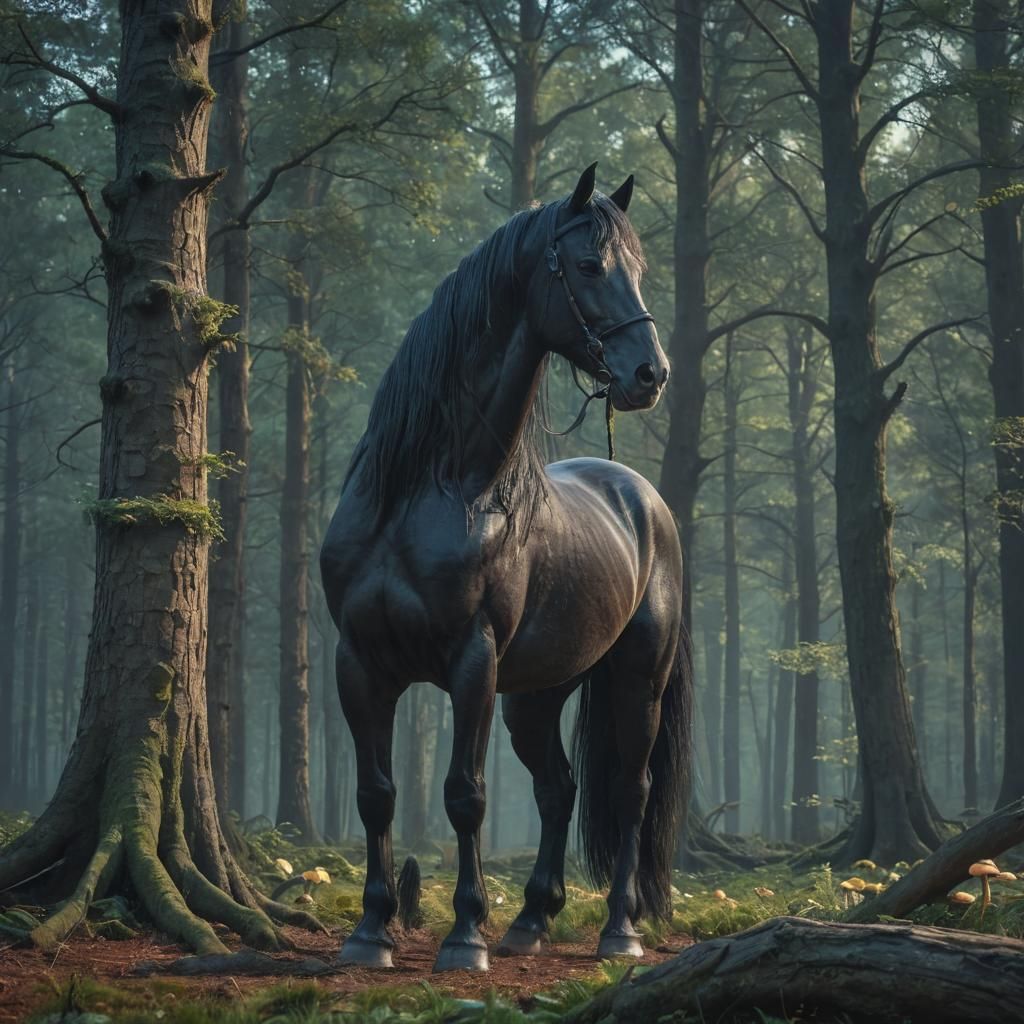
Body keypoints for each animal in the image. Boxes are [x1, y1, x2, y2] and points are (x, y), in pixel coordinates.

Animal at [319, 163, 692, 973]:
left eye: (640, 268)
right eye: (589, 266)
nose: (651, 374)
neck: (428, 490)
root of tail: (644, 499)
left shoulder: (472, 662)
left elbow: (465, 795)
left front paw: (464, 937)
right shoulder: (358, 661)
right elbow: (375, 793)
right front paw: (370, 933)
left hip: (635, 679)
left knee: (630, 790)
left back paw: (618, 930)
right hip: (538, 694)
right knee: (559, 788)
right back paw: (531, 920)